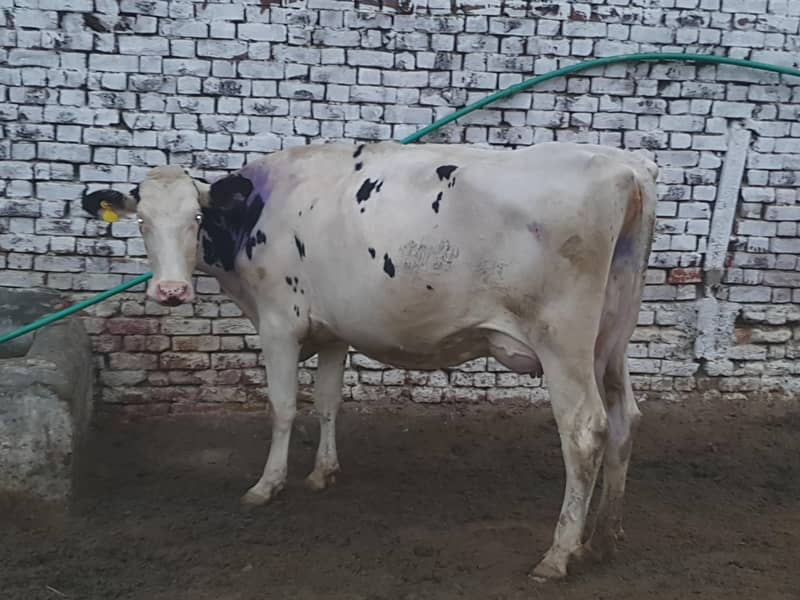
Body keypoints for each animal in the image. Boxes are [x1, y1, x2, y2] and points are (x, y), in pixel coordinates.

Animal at [81, 140, 658, 580]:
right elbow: (328, 402)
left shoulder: (279, 323)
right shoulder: (335, 330)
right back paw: (603, 539)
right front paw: (322, 473)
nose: (170, 291)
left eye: (196, 218)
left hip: (563, 342)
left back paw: (558, 555)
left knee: (585, 430)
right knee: (625, 419)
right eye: (142, 222)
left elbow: (284, 407)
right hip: (612, 339)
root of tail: (625, 166)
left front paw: (267, 485)